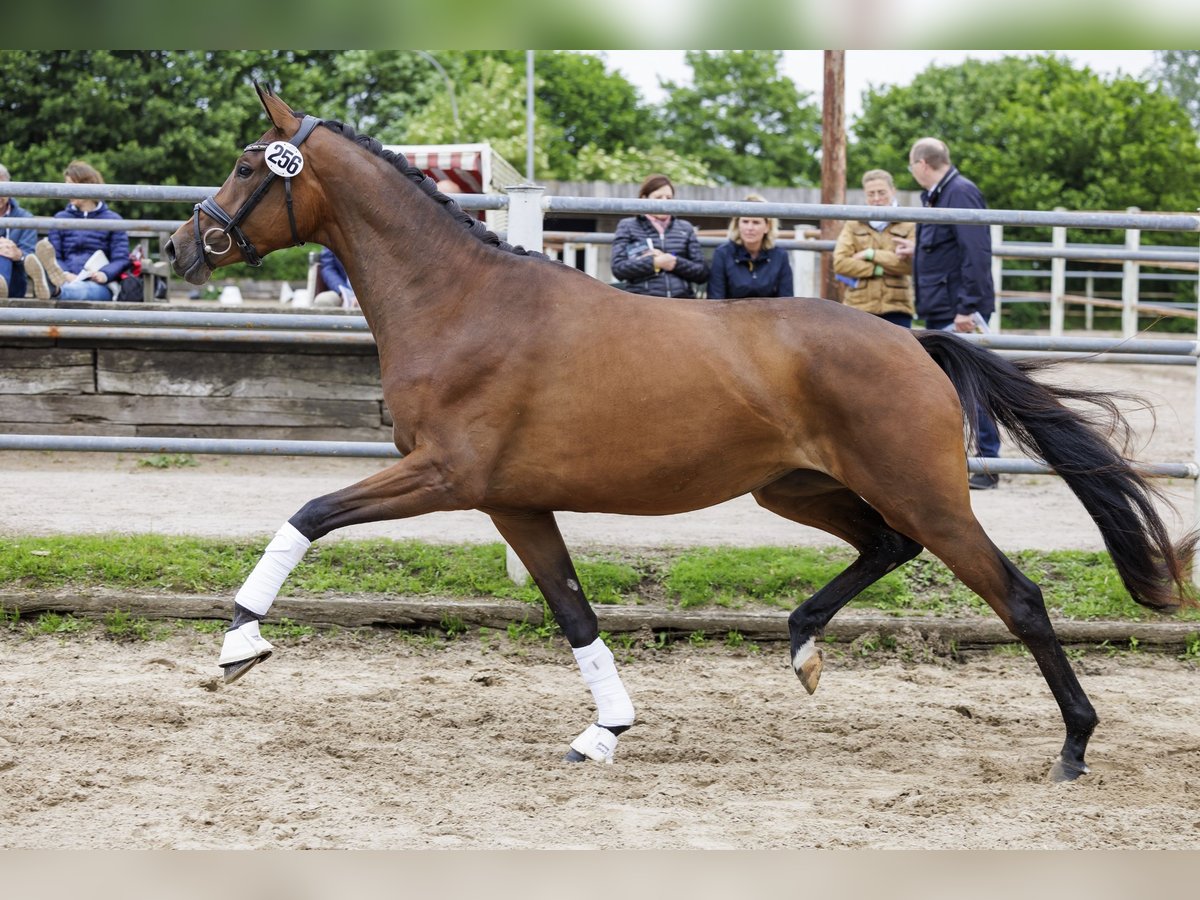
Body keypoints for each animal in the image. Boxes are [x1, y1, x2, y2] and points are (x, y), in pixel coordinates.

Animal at [166, 88, 1190, 787]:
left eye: (251, 165)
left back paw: (1073, 745)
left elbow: (310, 511)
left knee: (1016, 596)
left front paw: (240, 644)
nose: (183, 246)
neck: (462, 304)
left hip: (923, 491)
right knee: (885, 548)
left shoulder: (445, 475)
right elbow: (573, 612)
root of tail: (912, 341)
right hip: (797, 487)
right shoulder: (514, 501)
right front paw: (604, 733)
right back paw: (803, 645)